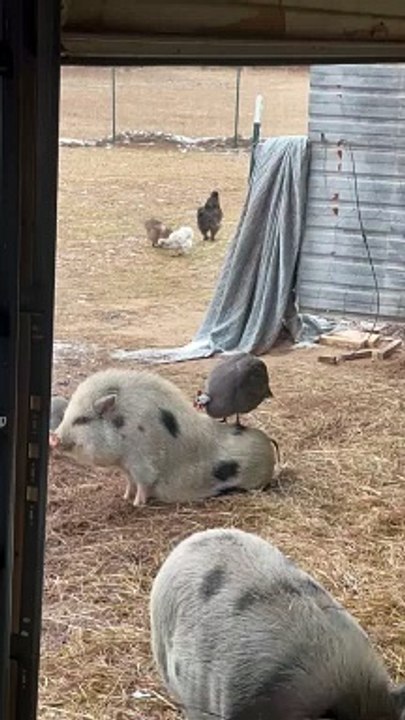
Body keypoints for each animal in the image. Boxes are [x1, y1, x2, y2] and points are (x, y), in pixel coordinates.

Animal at [49, 369, 278, 507]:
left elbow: (143, 484)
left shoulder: (142, 463)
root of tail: (268, 442)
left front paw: (137, 505)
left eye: (82, 419)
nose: (54, 437)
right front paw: (124, 497)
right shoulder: (127, 467)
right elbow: (129, 482)